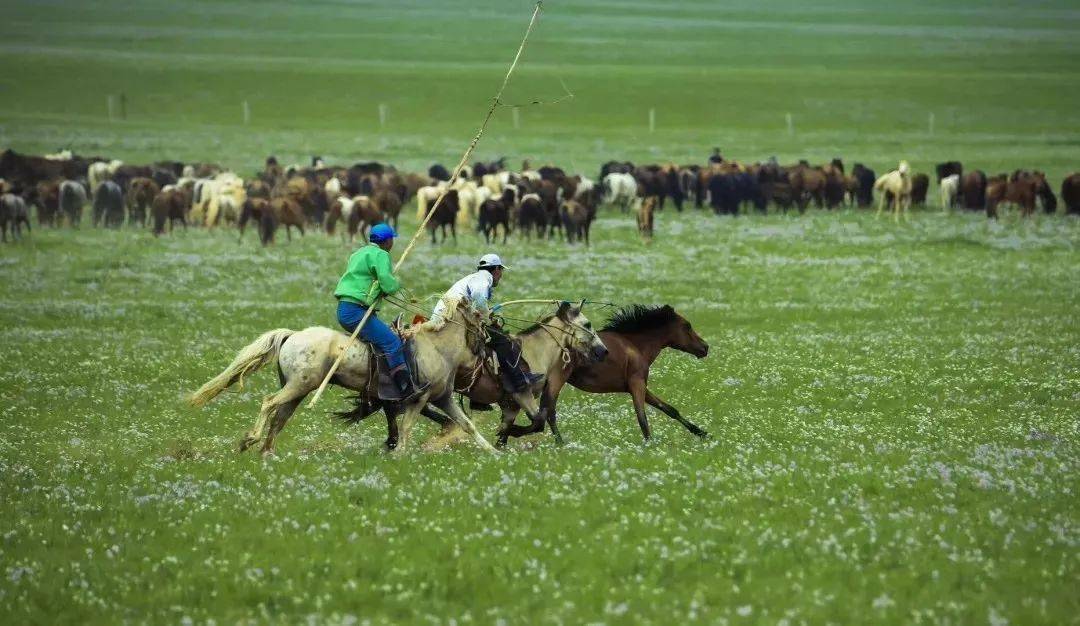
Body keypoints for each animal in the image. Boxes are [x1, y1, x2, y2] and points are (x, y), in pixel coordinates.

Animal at [192, 300, 494, 455]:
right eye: (479, 315)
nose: (485, 344)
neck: (436, 348)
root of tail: (293, 335)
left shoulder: (442, 399)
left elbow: (467, 425)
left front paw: (493, 452)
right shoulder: (418, 399)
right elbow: (407, 426)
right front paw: (400, 455)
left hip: (297, 389)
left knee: (280, 417)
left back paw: (268, 453)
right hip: (299, 385)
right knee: (269, 403)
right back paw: (250, 439)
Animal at [511, 304, 712, 442]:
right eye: (687, 326)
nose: (705, 347)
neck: (635, 345)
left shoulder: (639, 386)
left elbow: (669, 409)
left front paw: (702, 433)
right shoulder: (637, 384)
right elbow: (642, 417)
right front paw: (650, 444)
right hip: (556, 380)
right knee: (549, 411)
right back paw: (559, 443)